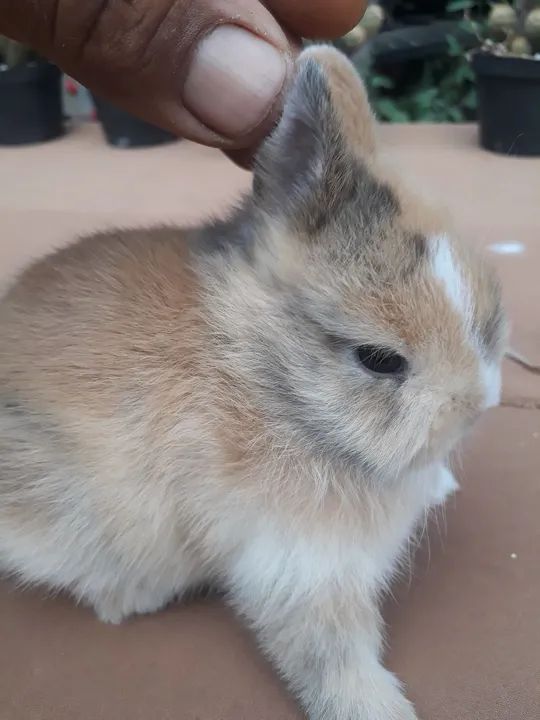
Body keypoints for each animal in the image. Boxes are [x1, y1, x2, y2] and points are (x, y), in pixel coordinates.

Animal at [0, 45, 506, 720]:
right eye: (378, 359)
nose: (479, 405)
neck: (273, 381)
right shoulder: (298, 565)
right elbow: (330, 653)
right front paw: (379, 708)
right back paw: (129, 597)